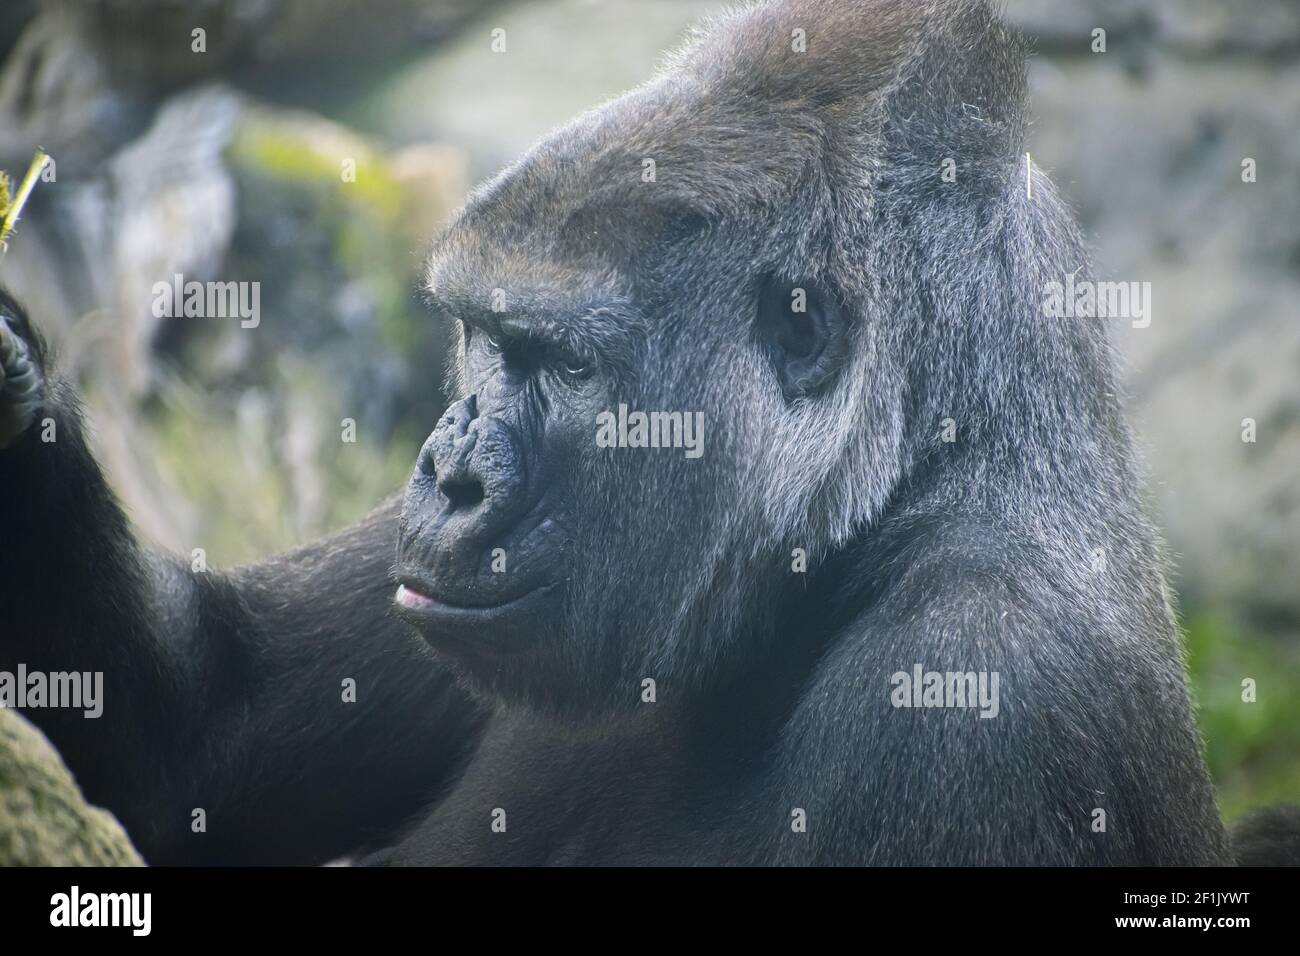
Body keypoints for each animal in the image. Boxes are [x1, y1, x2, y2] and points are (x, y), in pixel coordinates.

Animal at [0, 0, 1289, 868]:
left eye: (567, 365)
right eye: (479, 338)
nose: (448, 472)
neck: (914, 485)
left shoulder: (982, 691)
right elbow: (189, 747)